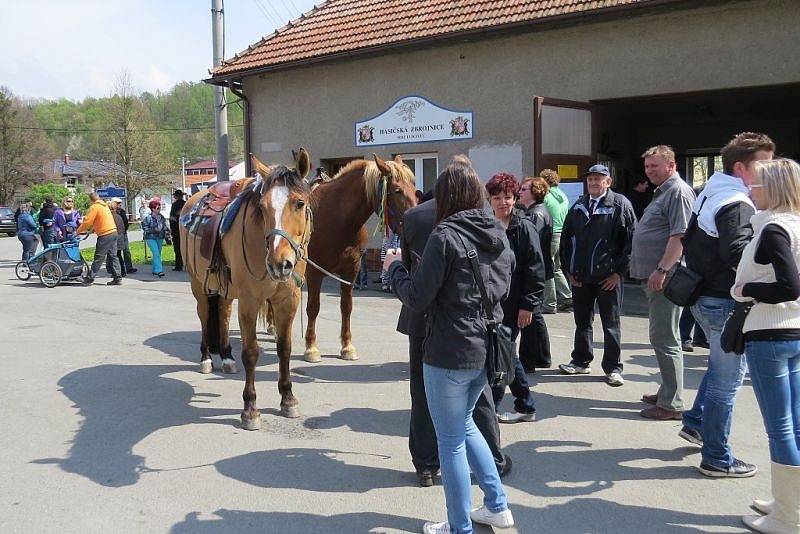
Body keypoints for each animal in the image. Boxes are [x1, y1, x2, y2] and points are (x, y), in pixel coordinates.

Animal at [302, 155, 418, 364]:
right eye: (397, 190)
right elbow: (313, 307)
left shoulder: (351, 270)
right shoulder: (314, 271)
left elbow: (346, 307)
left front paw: (347, 346)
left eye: (414, 188)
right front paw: (311, 348)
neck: (336, 217)